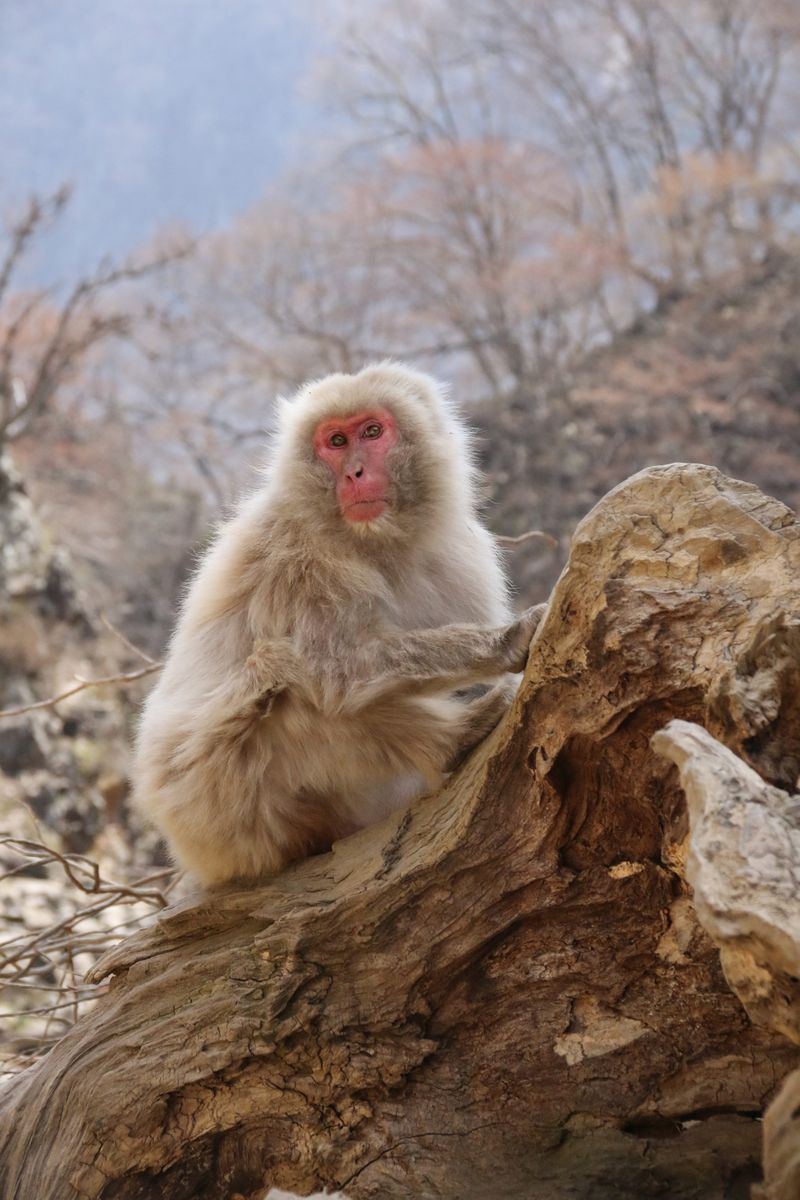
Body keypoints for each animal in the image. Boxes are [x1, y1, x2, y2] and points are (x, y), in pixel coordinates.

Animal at [133, 362, 545, 887]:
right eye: (335, 441)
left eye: (371, 432)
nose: (354, 472)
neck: (371, 541)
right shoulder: (299, 558)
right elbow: (337, 672)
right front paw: (504, 643)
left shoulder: (463, 552)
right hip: (218, 810)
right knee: (289, 679)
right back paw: (455, 738)